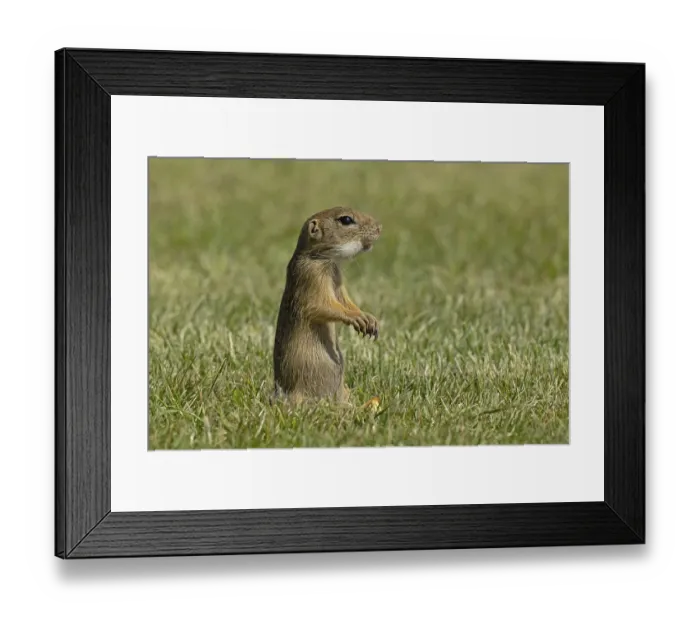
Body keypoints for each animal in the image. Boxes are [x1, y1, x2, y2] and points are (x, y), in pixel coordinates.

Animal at [272, 206, 382, 406]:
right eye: (346, 220)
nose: (380, 228)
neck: (325, 260)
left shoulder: (338, 280)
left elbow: (344, 300)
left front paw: (369, 319)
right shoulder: (312, 276)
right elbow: (322, 305)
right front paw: (358, 318)